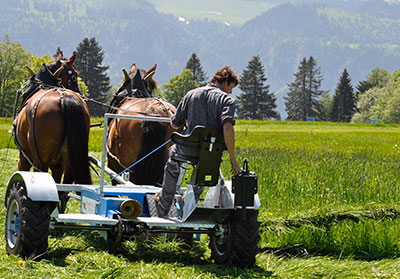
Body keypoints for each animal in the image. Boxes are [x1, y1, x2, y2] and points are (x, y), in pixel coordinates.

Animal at [14, 52, 92, 188]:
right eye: (75, 76)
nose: (82, 94)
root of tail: (63, 98)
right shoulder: (57, 165)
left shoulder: (24, 157)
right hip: (69, 162)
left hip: (41, 162)